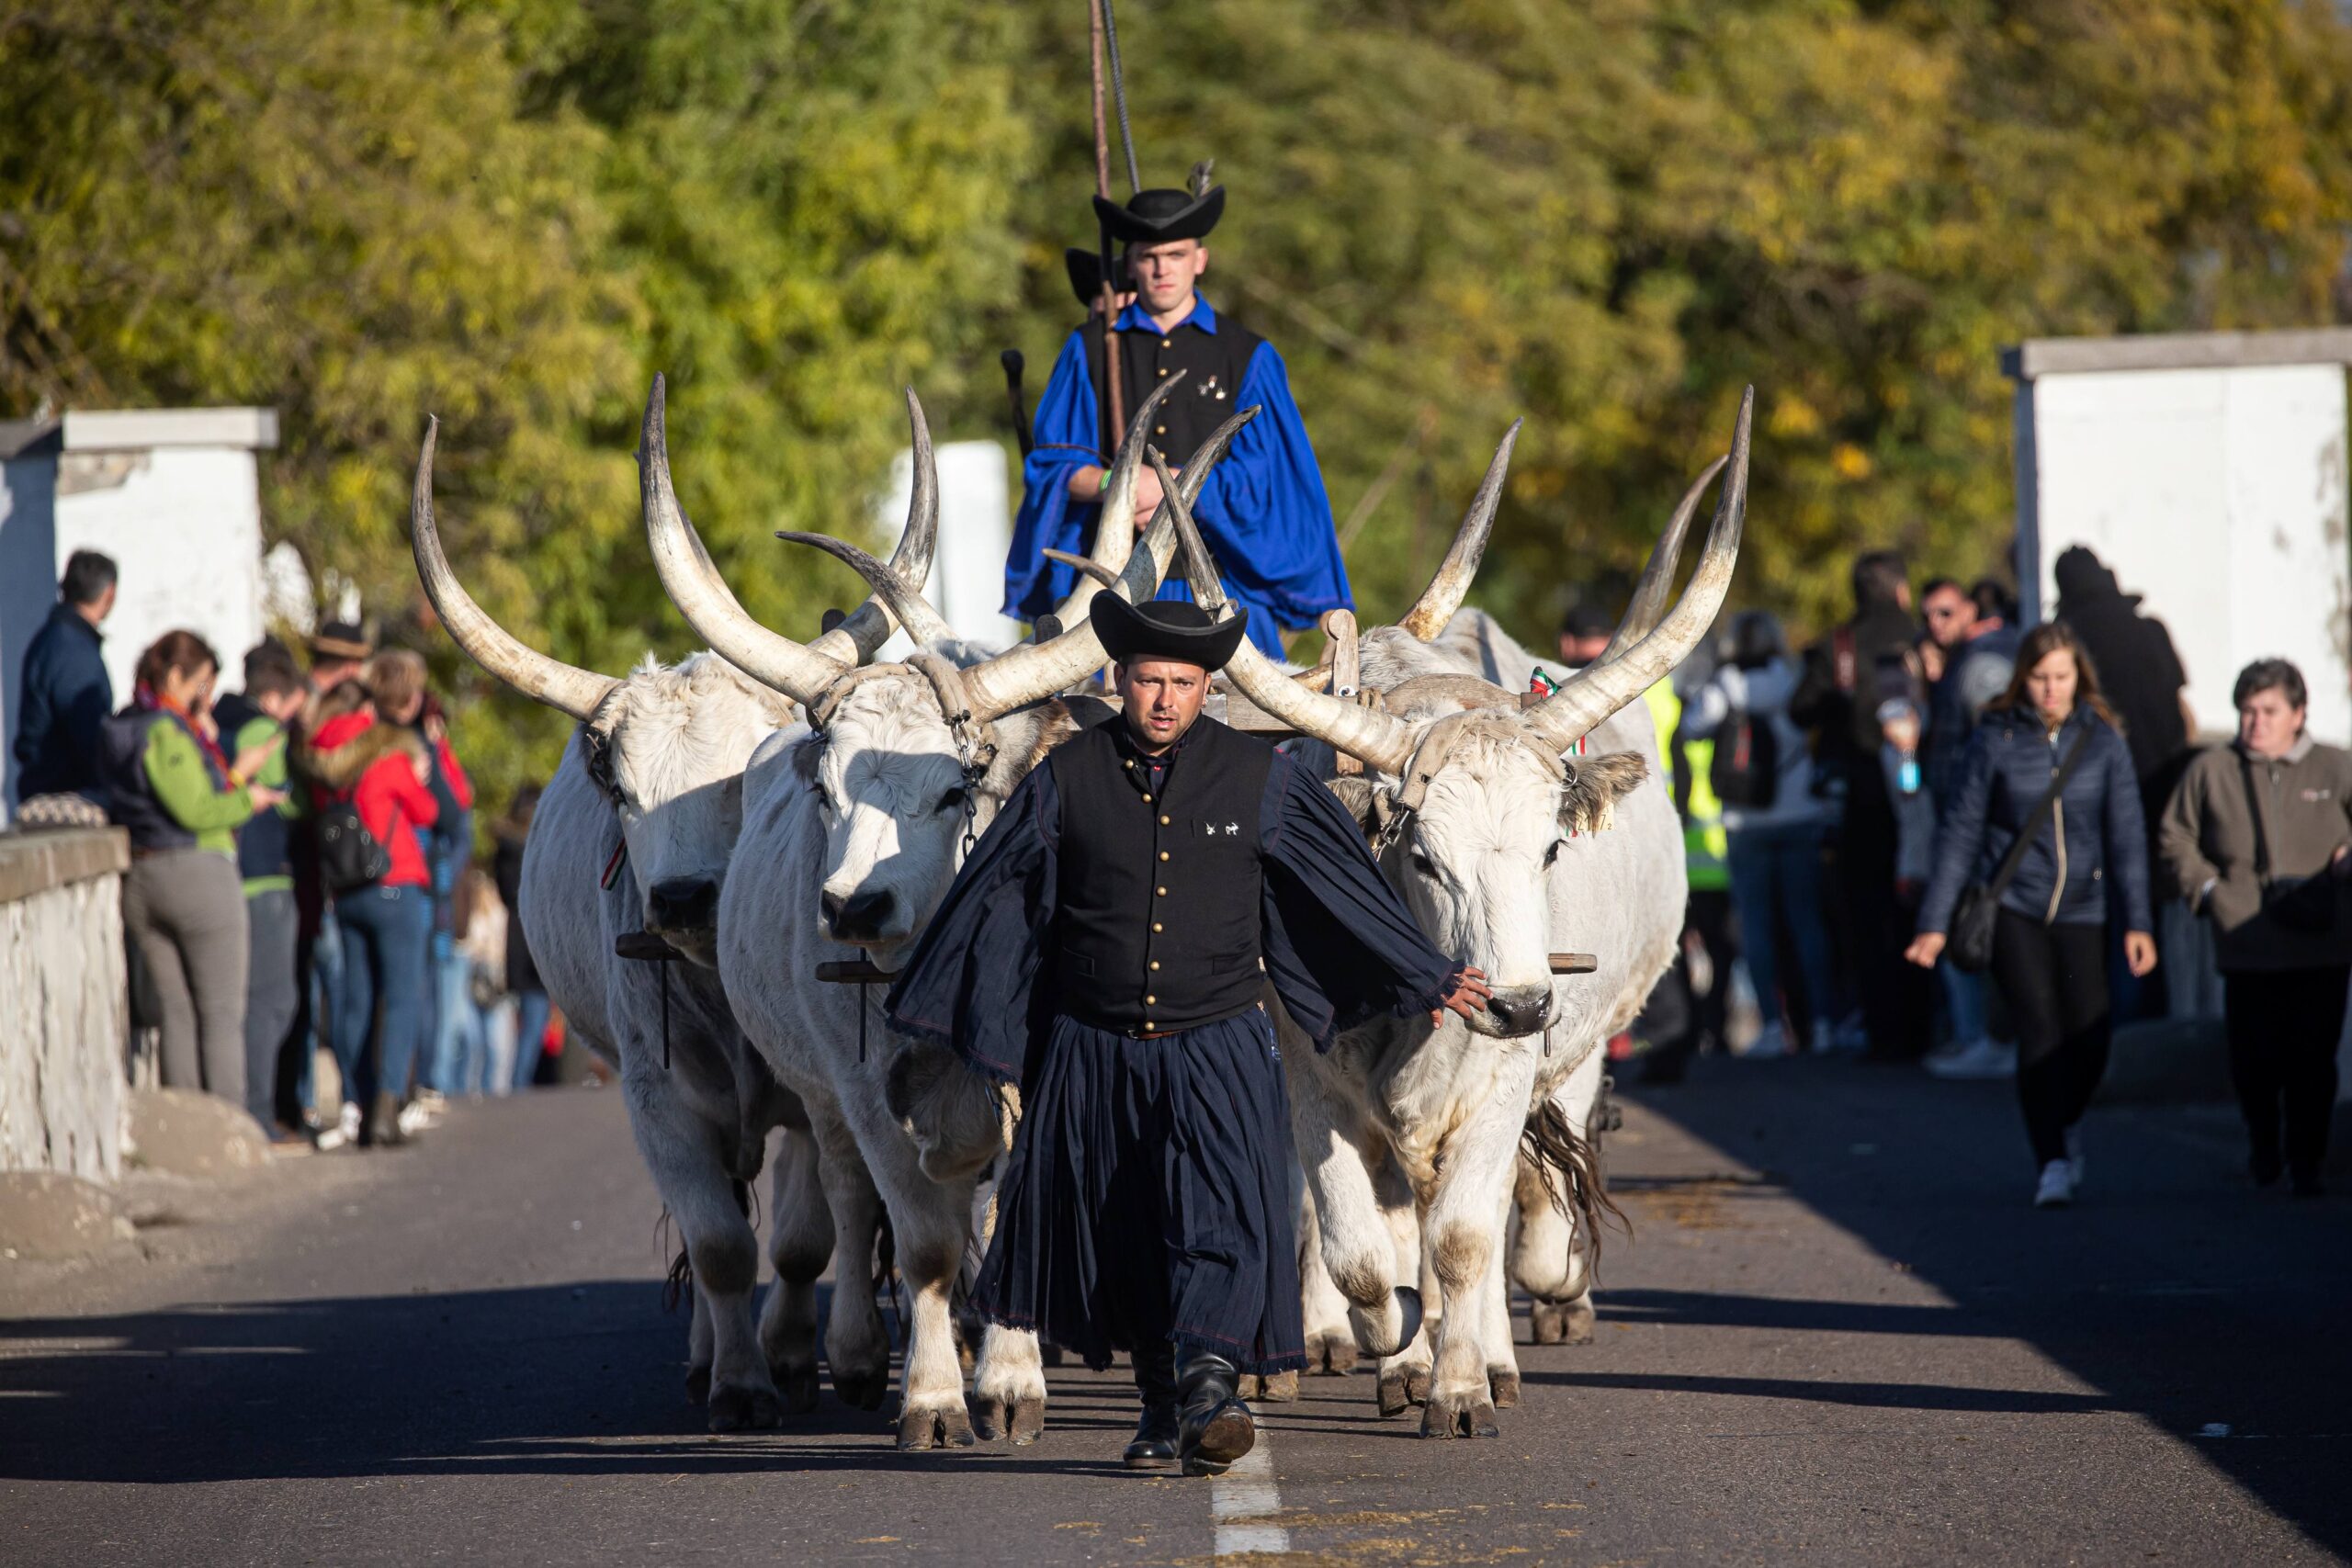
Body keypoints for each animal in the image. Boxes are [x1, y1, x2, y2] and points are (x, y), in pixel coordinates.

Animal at [409, 397, 941, 1432]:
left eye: (753, 769)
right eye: (616, 781)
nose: (687, 896)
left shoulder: (812, 1088)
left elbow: (808, 1234)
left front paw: (797, 1358)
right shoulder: (653, 1096)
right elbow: (721, 1243)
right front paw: (736, 1385)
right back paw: (712, 1354)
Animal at [637, 375, 1255, 1448]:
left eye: (958, 787)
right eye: (826, 786)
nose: (851, 905)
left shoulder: (1040, 1078)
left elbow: (1011, 1221)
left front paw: (1010, 1383)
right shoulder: (863, 1088)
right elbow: (921, 1241)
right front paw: (931, 1397)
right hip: (817, 1093)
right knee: (845, 1204)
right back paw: (848, 1354)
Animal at [1158, 389, 1750, 1437]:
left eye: (1552, 848)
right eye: (1424, 857)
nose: (1517, 1003)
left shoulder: (1504, 1080)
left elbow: (1469, 1238)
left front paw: (1466, 1386)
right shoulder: (1314, 1079)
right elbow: (1361, 1249)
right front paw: (1392, 1338)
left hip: (1577, 1048)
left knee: (1503, 1215)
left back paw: (1494, 1348)